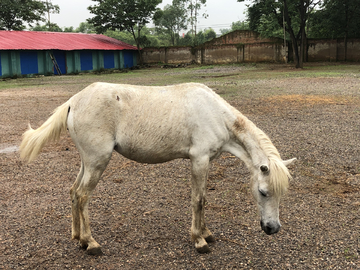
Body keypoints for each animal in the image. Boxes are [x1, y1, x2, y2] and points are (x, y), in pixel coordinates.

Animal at [19, 82, 296, 255]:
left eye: (282, 194)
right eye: (263, 192)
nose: (272, 228)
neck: (216, 114)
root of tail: (73, 102)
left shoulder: (205, 161)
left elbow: (203, 200)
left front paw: (207, 233)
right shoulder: (199, 160)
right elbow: (198, 200)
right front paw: (199, 240)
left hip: (87, 161)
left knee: (73, 192)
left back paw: (78, 239)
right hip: (97, 160)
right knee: (82, 195)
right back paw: (92, 243)